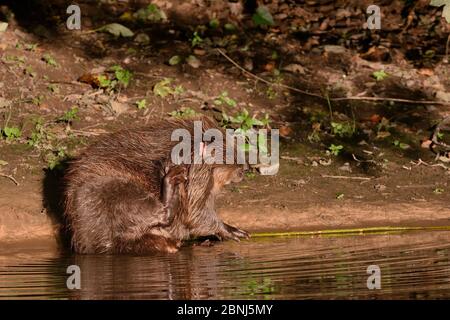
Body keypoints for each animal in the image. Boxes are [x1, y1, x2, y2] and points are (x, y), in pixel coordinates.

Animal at [63, 116, 248, 254]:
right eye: (230, 152)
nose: (244, 169)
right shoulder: (197, 169)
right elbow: (196, 213)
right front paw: (233, 232)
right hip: (114, 189)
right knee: (161, 214)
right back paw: (171, 180)